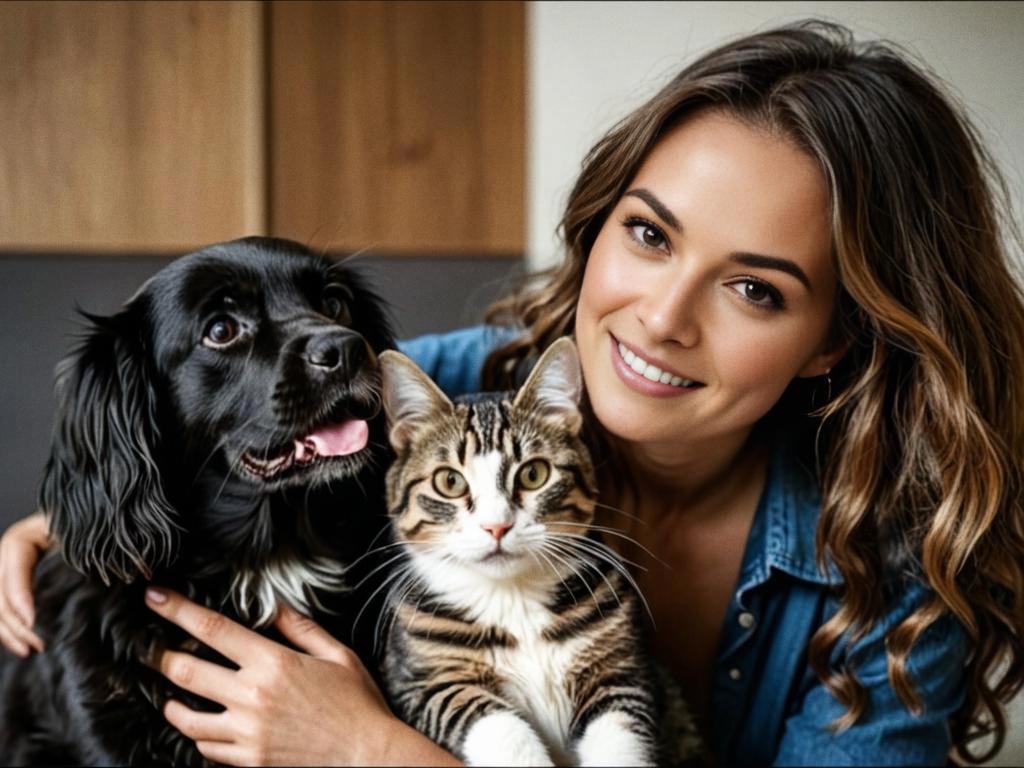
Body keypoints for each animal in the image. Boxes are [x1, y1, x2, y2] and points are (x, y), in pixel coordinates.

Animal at [380, 342, 659, 768]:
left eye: (533, 474)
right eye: (450, 481)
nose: (497, 526)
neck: (512, 598)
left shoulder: (620, 670)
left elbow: (621, 735)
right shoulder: (419, 681)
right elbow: (495, 724)